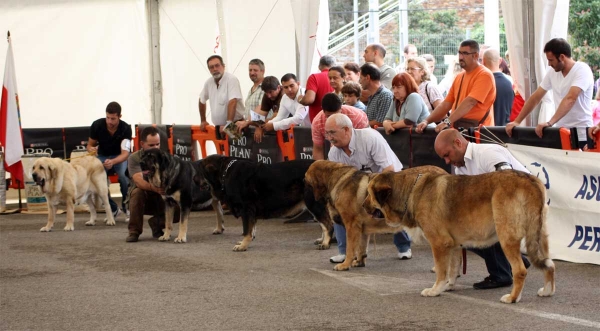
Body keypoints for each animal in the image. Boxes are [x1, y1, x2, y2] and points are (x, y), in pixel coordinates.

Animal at [200, 156, 332, 252]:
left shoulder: (246, 208)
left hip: (312, 202)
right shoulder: (250, 211)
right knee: (323, 222)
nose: (196, 182)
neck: (225, 173)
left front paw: (243, 245)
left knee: (327, 223)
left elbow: (246, 229)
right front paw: (246, 241)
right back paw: (322, 240)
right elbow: (251, 228)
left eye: (200, 172)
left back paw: (326, 243)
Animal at [304, 161, 446, 272]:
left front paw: (345, 265)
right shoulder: (362, 230)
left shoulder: (351, 227)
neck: (336, 180)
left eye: (306, 181)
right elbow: (361, 247)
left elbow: (350, 248)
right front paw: (359, 262)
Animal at [364, 169, 556, 304]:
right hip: (539, 237)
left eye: (369, 194)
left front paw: (435, 290)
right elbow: (453, 268)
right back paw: (547, 291)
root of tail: (530, 180)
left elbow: (441, 270)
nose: (363, 205)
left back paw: (513, 298)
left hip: (506, 238)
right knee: (550, 265)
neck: (411, 192)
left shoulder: (439, 244)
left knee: (520, 271)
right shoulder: (454, 245)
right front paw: (448, 286)